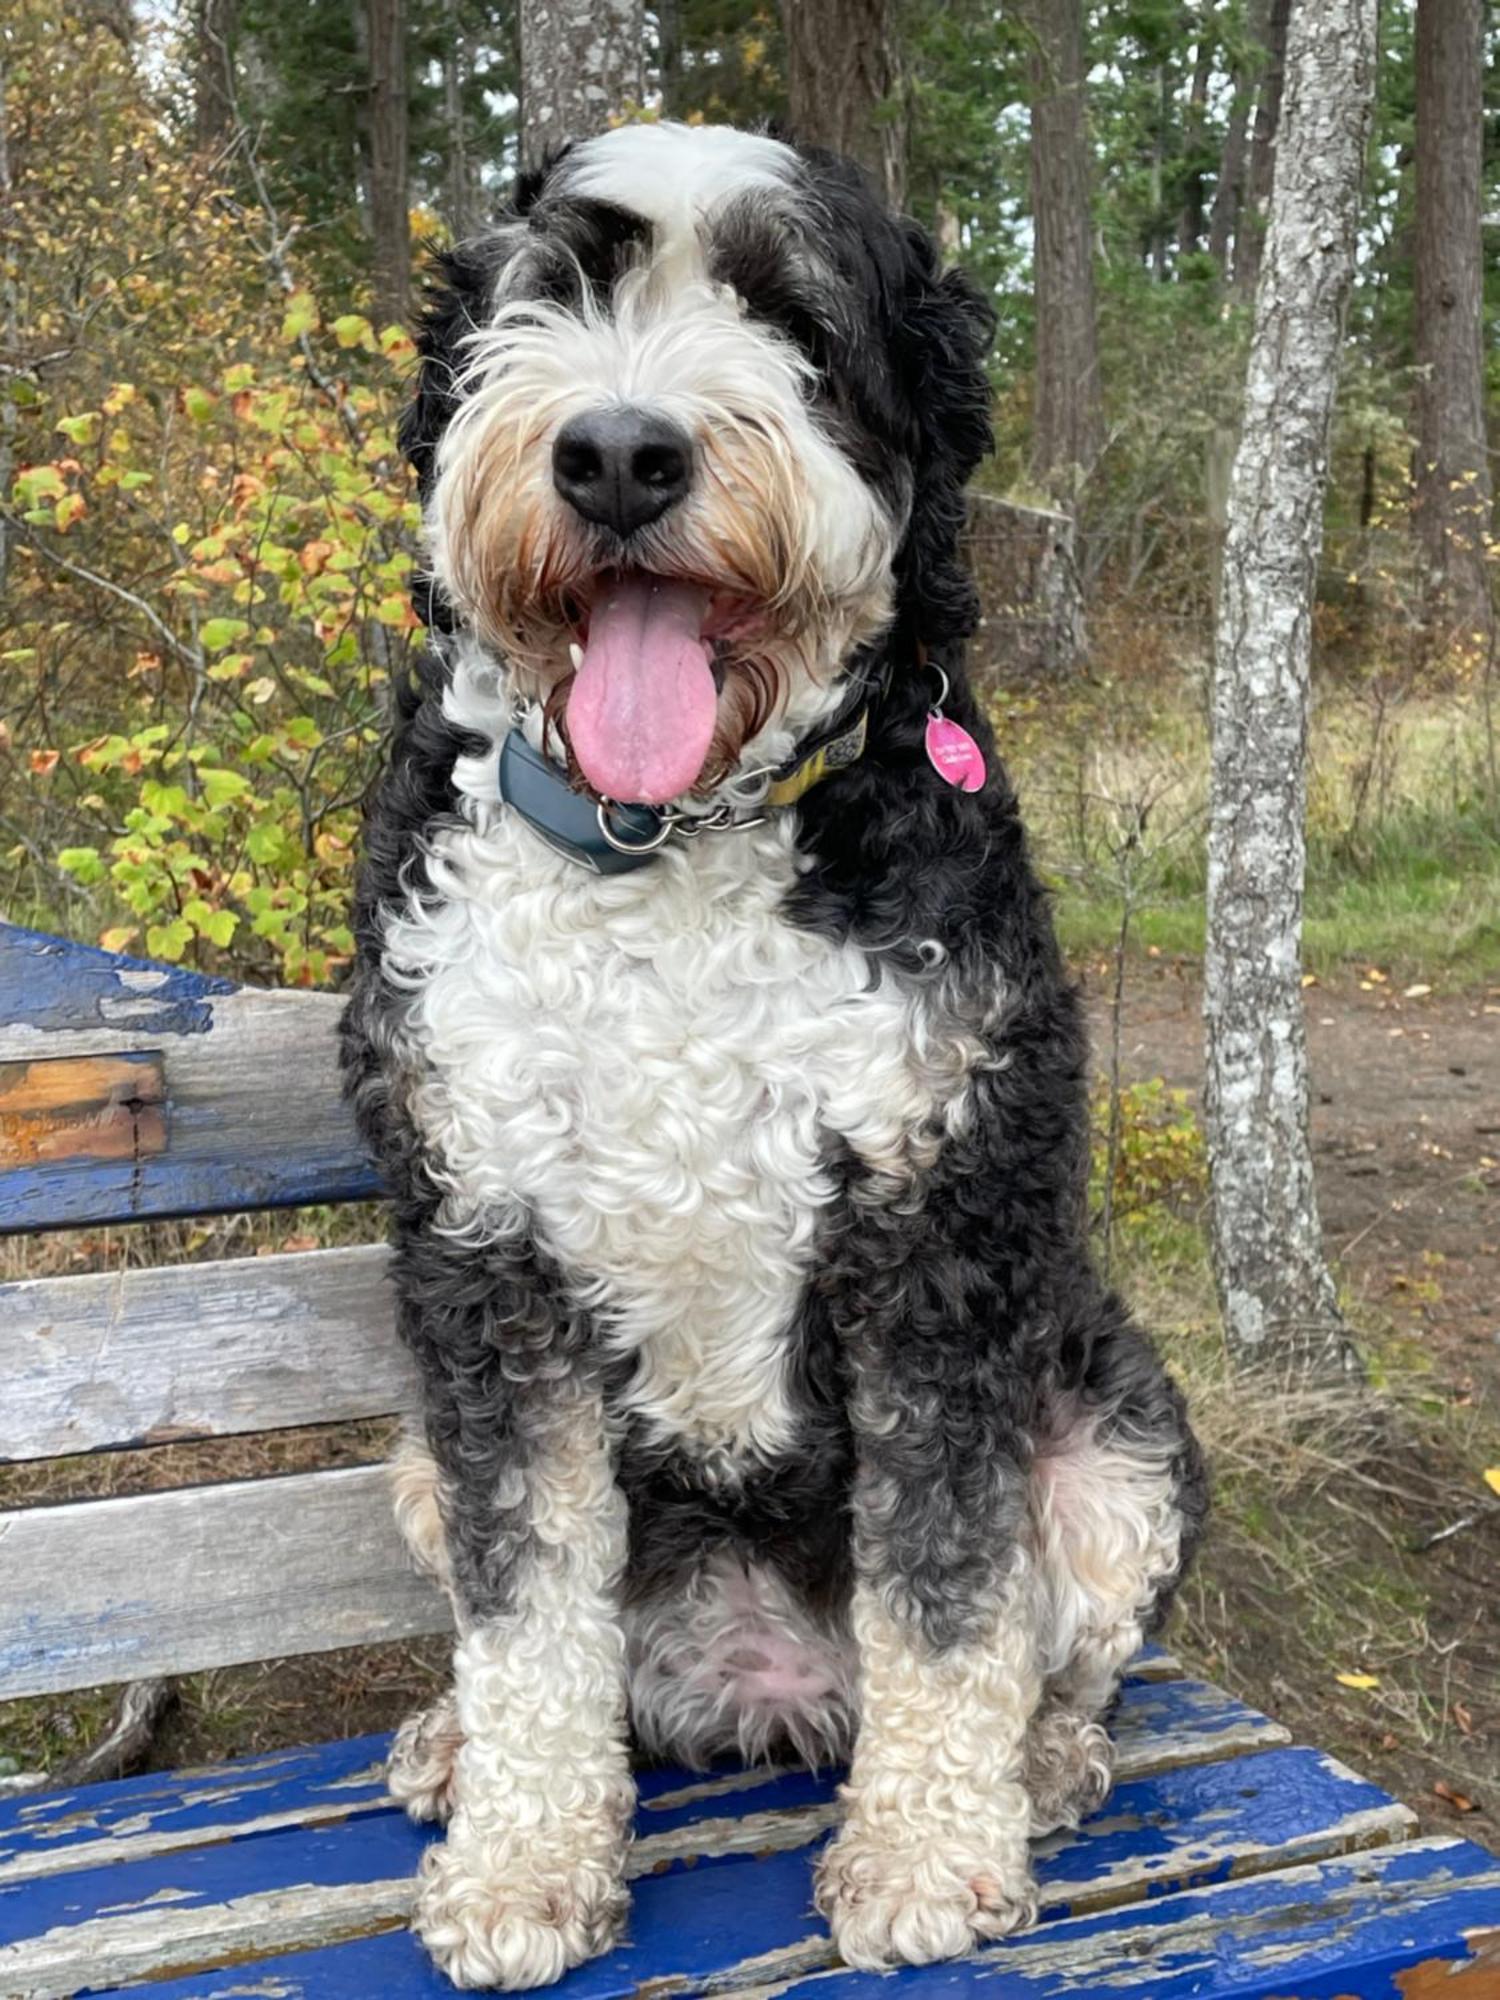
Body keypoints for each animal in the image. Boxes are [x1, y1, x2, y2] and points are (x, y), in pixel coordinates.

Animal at [340, 121, 1208, 1984]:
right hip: (413, 1442)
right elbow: (529, 1606)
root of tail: (766, 1687)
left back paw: (1040, 1764)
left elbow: (951, 1595)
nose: (617, 452)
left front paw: (927, 1853)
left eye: (796, 319)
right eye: (554, 290)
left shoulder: (944, 1248)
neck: (668, 841)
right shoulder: (481, 1266)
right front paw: (524, 1863)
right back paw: (456, 1746)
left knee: (1053, 1652)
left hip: (1118, 1430)